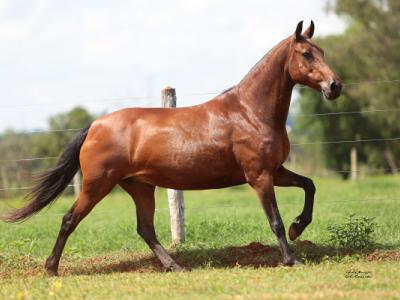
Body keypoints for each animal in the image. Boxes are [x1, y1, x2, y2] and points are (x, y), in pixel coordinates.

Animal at [2, 19, 340, 276]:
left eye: (322, 51)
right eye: (306, 54)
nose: (335, 86)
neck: (250, 111)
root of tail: (95, 126)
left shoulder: (276, 171)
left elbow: (309, 186)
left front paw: (299, 227)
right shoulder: (259, 176)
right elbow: (275, 221)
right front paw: (291, 258)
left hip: (140, 187)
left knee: (145, 228)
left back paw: (174, 265)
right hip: (97, 185)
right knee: (70, 219)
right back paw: (51, 268)